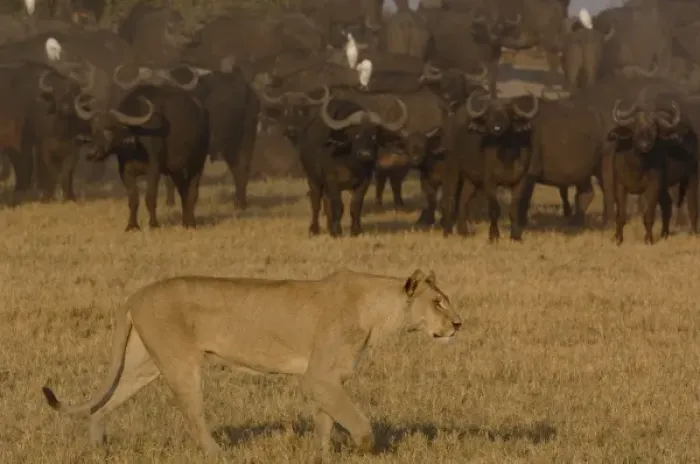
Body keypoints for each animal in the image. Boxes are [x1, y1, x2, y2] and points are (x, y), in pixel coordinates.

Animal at [41, 268, 463, 460]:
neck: (380, 312)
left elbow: (326, 421)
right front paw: (364, 450)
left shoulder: (328, 379)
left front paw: (322, 455)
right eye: (438, 302)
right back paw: (217, 455)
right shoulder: (317, 378)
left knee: (105, 403)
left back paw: (98, 447)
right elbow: (358, 422)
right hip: (181, 364)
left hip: (142, 365)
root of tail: (135, 294)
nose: (459, 324)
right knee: (193, 415)